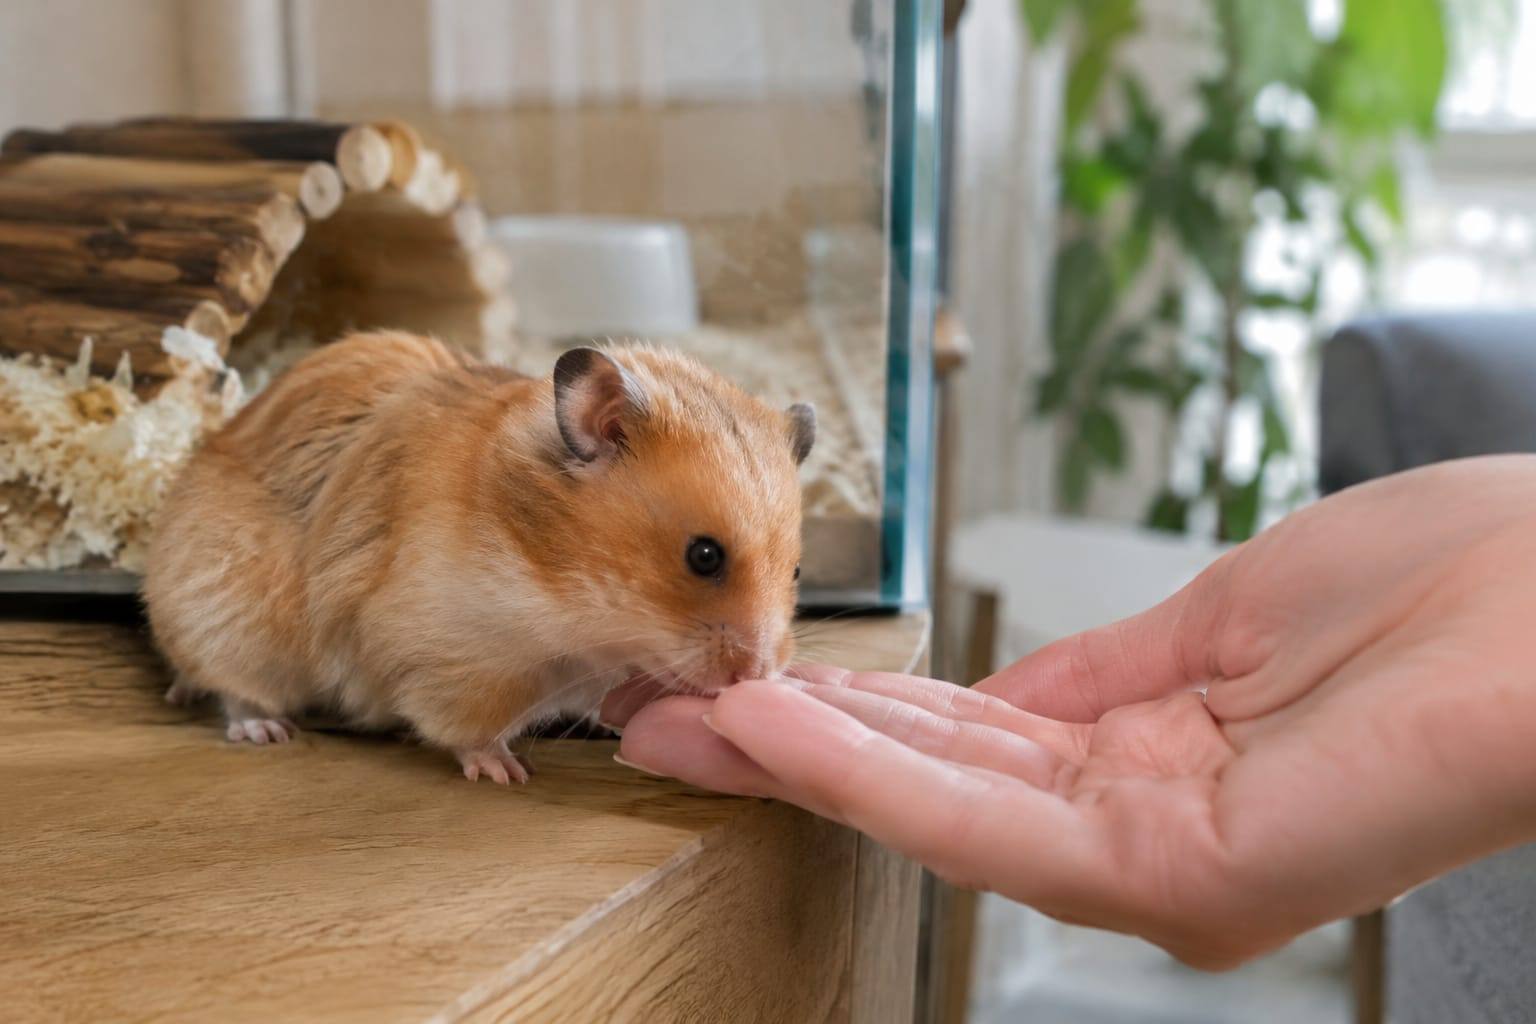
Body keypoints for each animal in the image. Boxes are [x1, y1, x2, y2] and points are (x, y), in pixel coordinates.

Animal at [143, 331, 815, 783]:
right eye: (703, 556)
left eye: (798, 570)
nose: (757, 674)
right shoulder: (455, 659)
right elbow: (464, 729)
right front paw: (503, 770)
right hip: (224, 620)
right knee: (230, 690)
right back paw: (266, 730)